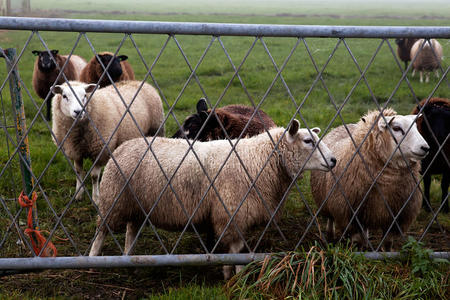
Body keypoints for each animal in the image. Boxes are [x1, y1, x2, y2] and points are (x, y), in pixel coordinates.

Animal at [89, 119, 336, 278]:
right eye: (308, 141)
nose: (334, 160)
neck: (259, 159)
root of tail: (123, 146)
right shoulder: (232, 211)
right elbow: (237, 251)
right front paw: (236, 276)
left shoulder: (231, 214)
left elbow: (230, 249)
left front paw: (227, 273)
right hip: (113, 199)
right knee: (101, 231)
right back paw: (92, 261)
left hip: (136, 204)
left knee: (131, 230)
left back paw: (129, 260)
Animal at [312, 108, 430, 251]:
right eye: (396, 128)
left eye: (416, 128)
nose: (426, 148)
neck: (387, 181)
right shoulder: (350, 212)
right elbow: (356, 240)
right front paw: (358, 250)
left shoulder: (396, 217)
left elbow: (388, 242)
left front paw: (386, 252)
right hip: (327, 200)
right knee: (330, 218)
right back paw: (330, 235)